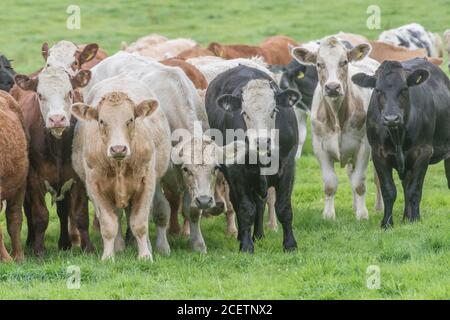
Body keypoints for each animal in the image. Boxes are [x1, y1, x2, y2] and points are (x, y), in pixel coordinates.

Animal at [72, 77, 172, 260]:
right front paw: (108, 256)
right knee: (117, 216)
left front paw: (145, 255)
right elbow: (108, 224)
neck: (119, 165)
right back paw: (118, 247)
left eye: (130, 120)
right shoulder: (94, 187)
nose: (118, 148)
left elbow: (139, 223)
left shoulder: (147, 183)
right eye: (102, 121)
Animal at [206, 66, 300, 252]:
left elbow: (283, 207)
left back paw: (259, 234)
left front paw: (290, 244)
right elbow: (245, 208)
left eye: (274, 111)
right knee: (240, 202)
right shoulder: (236, 172)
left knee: (260, 202)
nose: (262, 141)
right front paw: (246, 245)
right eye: (245, 113)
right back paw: (244, 236)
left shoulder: (288, 167)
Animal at [352, 57, 450, 228]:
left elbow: (415, 190)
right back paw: (405, 217)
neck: (397, 135)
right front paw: (387, 223)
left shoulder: (423, 152)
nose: (391, 118)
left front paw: (415, 219)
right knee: (405, 184)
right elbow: (389, 190)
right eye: (378, 90)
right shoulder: (378, 154)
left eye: (404, 89)